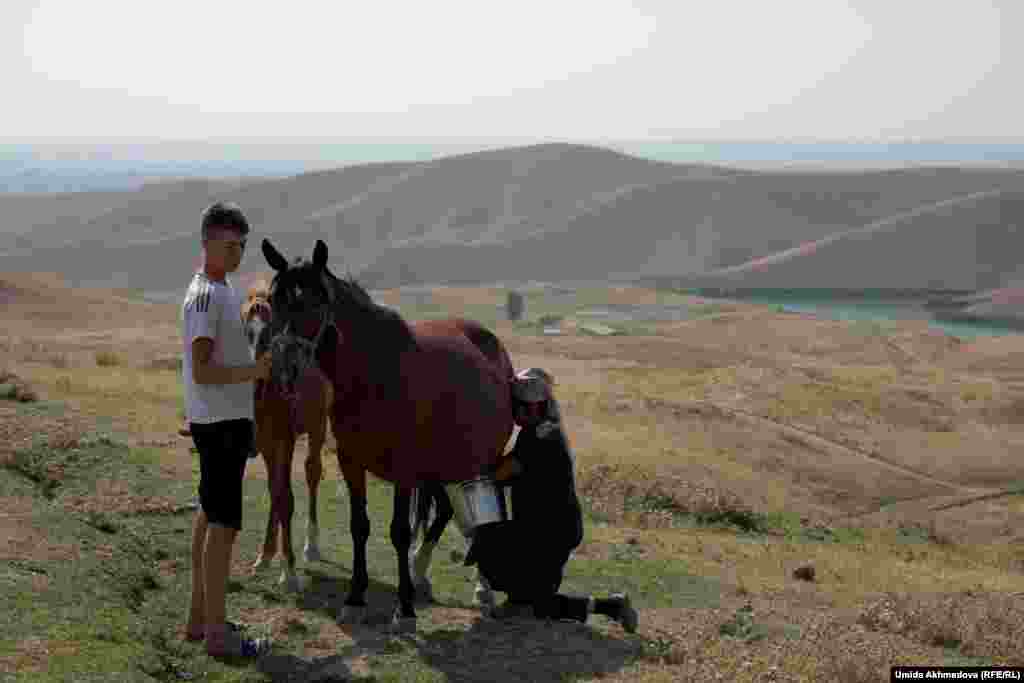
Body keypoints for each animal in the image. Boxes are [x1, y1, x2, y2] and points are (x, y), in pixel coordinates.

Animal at [240, 280, 333, 589]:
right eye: (245, 328)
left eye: (269, 332)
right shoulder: (267, 443)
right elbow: (276, 493)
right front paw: (265, 556)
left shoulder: (286, 439)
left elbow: (287, 499)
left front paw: (289, 570)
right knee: (278, 488)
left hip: (318, 425)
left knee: (312, 471)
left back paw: (311, 545)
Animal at [260, 240, 516, 630]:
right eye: (275, 301)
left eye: (316, 303)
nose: (286, 370)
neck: (373, 373)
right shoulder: (351, 461)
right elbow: (359, 526)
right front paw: (355, 598)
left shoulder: (404, 468)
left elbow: (398, 532)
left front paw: (405, 609)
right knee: (445, 512)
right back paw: (420, 571)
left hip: (484, 457)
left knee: (485, 516)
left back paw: (481, 589)